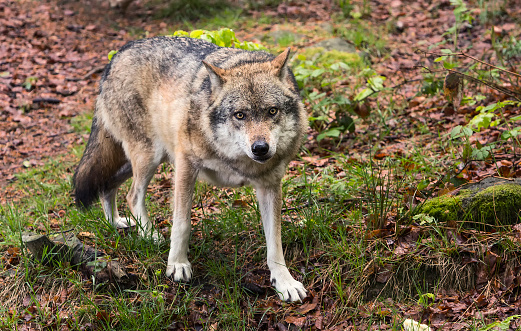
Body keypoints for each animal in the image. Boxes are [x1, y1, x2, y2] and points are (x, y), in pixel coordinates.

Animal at [73, 36, 308, 304]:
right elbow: (182, 223)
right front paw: (177, 264)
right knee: (132, 195)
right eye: (240, 115)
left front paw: (284, 282)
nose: (260, 148)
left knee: (106, 186)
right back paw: (149, 234)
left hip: (143, 159)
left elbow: (275, 243)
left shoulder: (270, 185)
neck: (236, 159)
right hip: (149, 156)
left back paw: (115, 222)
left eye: (272, 111)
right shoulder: (186, 164)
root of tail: (118, 55)